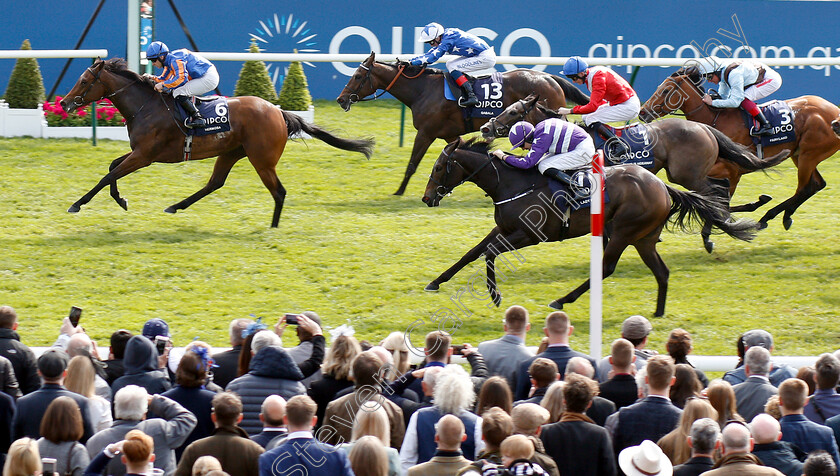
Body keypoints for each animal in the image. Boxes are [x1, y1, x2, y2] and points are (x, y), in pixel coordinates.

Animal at [60, 57, 374, 229]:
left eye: (84, 81)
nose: (64, 103)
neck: (145, 106)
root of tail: (278, 111)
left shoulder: (145, 155)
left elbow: (108, 174)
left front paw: (77, 204)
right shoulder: (138, 153)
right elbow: (112, 167)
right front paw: (121, 199)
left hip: (262, 160)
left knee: (279, 192)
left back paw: (272, 227)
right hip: (232, 152)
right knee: (215, 183)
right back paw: (176, 206)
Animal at [336, 50, 592, 195]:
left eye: (357, 76)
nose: (341, 99)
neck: (423, 90)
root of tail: (549, 77)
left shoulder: (426, 132)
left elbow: (412, 164)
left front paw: (399, 192)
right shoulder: (450, 134)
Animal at [424, 138, 756, 316]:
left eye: (439, 167)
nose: (428, 198)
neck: (512, 183)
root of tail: (661, 185)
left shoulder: (529, 235)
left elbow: (490, 253)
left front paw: (495, 295)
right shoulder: (505, 229)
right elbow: (472, 253)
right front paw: (436, 282)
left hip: (622, 231)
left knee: (606, 268)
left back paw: (562, 299)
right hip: (643, 237)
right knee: (661, 272)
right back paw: (658, 312)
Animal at [480, 92, 788, 253]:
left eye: (512, 112)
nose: (485, 128)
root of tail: (702, 127)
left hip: (686, 174)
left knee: (714, 192)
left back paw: (715, 230)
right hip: (689, 174)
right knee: (719, 189)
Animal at [640, 67, 836, 231]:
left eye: (665, 91)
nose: (642, 112)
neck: (714, 120)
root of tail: (834, 112)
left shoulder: (731, 171)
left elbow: (720, 198)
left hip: (808, 155)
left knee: (803, 188)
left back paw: (769, 217)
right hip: (800, 154)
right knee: (816, 184)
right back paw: (783, 216)